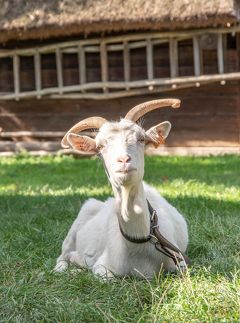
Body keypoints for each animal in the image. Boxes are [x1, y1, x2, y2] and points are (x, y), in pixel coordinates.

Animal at [54, 98, 189, 278]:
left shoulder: (179, 262)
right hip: (79, 220)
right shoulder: (103, 265)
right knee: (63, 255)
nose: (124, 160)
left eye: (141, 139)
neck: (139, 244)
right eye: (100, 147)